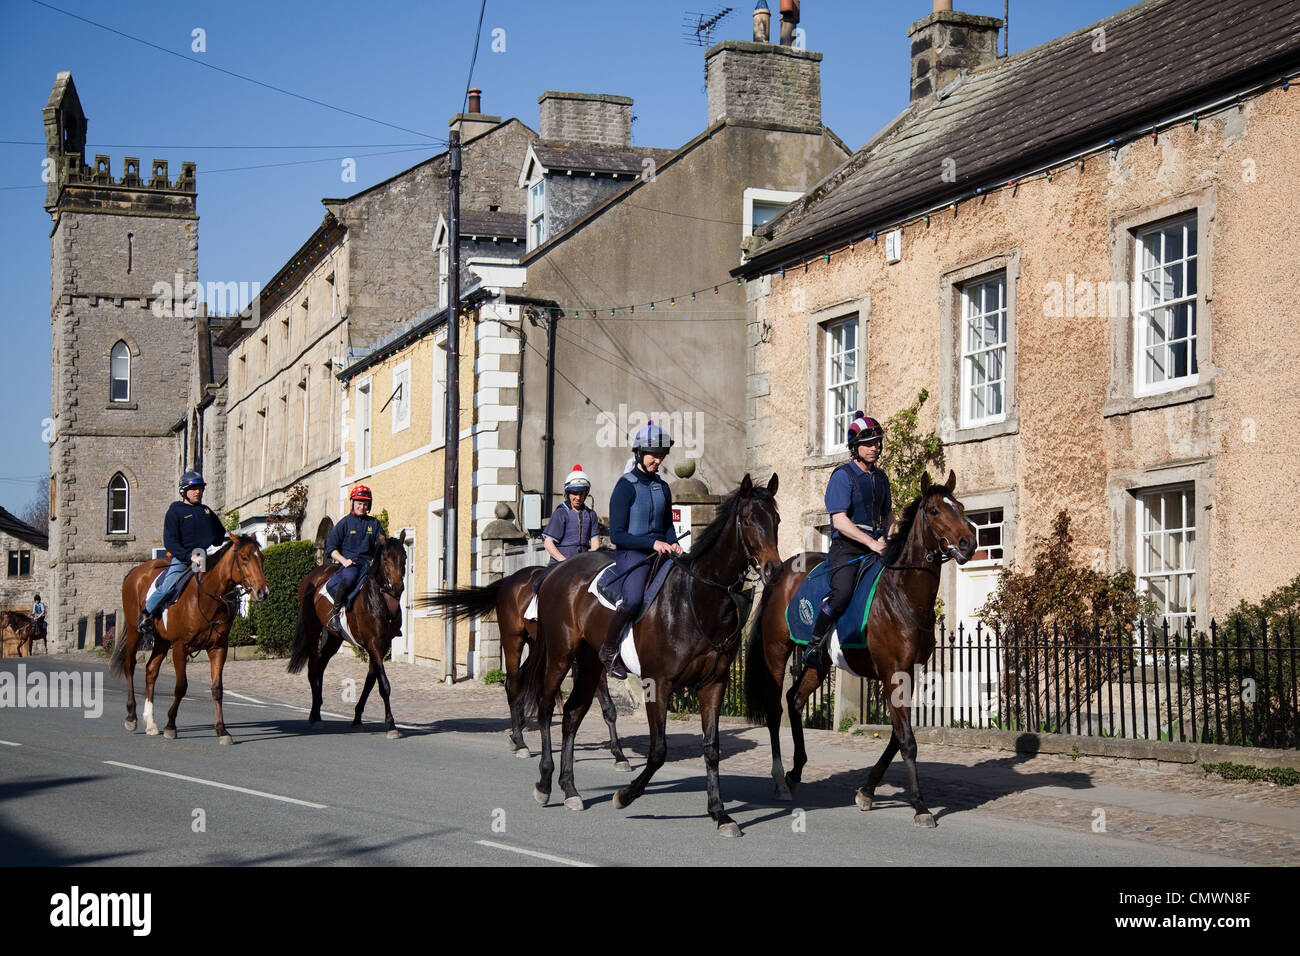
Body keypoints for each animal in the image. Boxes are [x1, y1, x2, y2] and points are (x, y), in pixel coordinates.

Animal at [111, 535, 271, 743]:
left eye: (261, 557)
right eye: (244, 558)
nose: (263, 592)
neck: (206, 597)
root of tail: (136, 571)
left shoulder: (218, 648)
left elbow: (217, 689)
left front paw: (222, 730)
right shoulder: (180, 647)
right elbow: (181, 686)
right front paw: (171, 726)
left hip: (162, 641)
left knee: (151, 670)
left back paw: (151, 722)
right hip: (134, 631)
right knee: (129, 665)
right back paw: (132, 717)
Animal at [288, 530, 405, 738]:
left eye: (404, 556)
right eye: (385, 558)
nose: (397, 587)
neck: (379, 599)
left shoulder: (382, 645)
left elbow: (370, 682)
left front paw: (357, 719)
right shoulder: (373, 644)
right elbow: (383, 684)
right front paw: (391, 725)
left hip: (334, 639)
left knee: (320, 667)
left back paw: (316, 710)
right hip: (313, 630)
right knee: (313, 669)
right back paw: (316, 717)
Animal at [418, 564, 631, 764]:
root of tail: (509, 580)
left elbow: (608, 707)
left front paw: (619, 754)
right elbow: (604, 702)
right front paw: (618, 753)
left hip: (536, 645)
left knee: (523, 680)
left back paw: (517, 732)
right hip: (513, 639)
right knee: (513, 685)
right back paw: (520, 742)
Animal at [517, 476, 780, 832]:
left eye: (776, 520)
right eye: (749, 520)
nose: (774, 570)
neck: (696, 599)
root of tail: (554, 574)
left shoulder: (714, 684)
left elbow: (711, 748)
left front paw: (719, 813)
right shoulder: (659, 683)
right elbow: (658, 751)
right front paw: (624, 795)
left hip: (589, 665)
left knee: (571, 715)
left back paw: (570, 789)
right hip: (560, 656)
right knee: (546, 710)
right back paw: (545, 784)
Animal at [743, 468, 977, 822]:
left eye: (961, 507)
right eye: (936, 511)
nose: (969, 542)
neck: (902, 593)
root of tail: (781, 569)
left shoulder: (909, 674)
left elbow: (896, 737)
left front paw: (867, 791)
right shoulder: (893, 674)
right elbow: (906, 740)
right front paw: (920, 806)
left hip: (819, 663)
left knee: (795, 699)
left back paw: (796, 771)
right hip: (776, 651)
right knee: (776, 707)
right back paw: (781, 778)